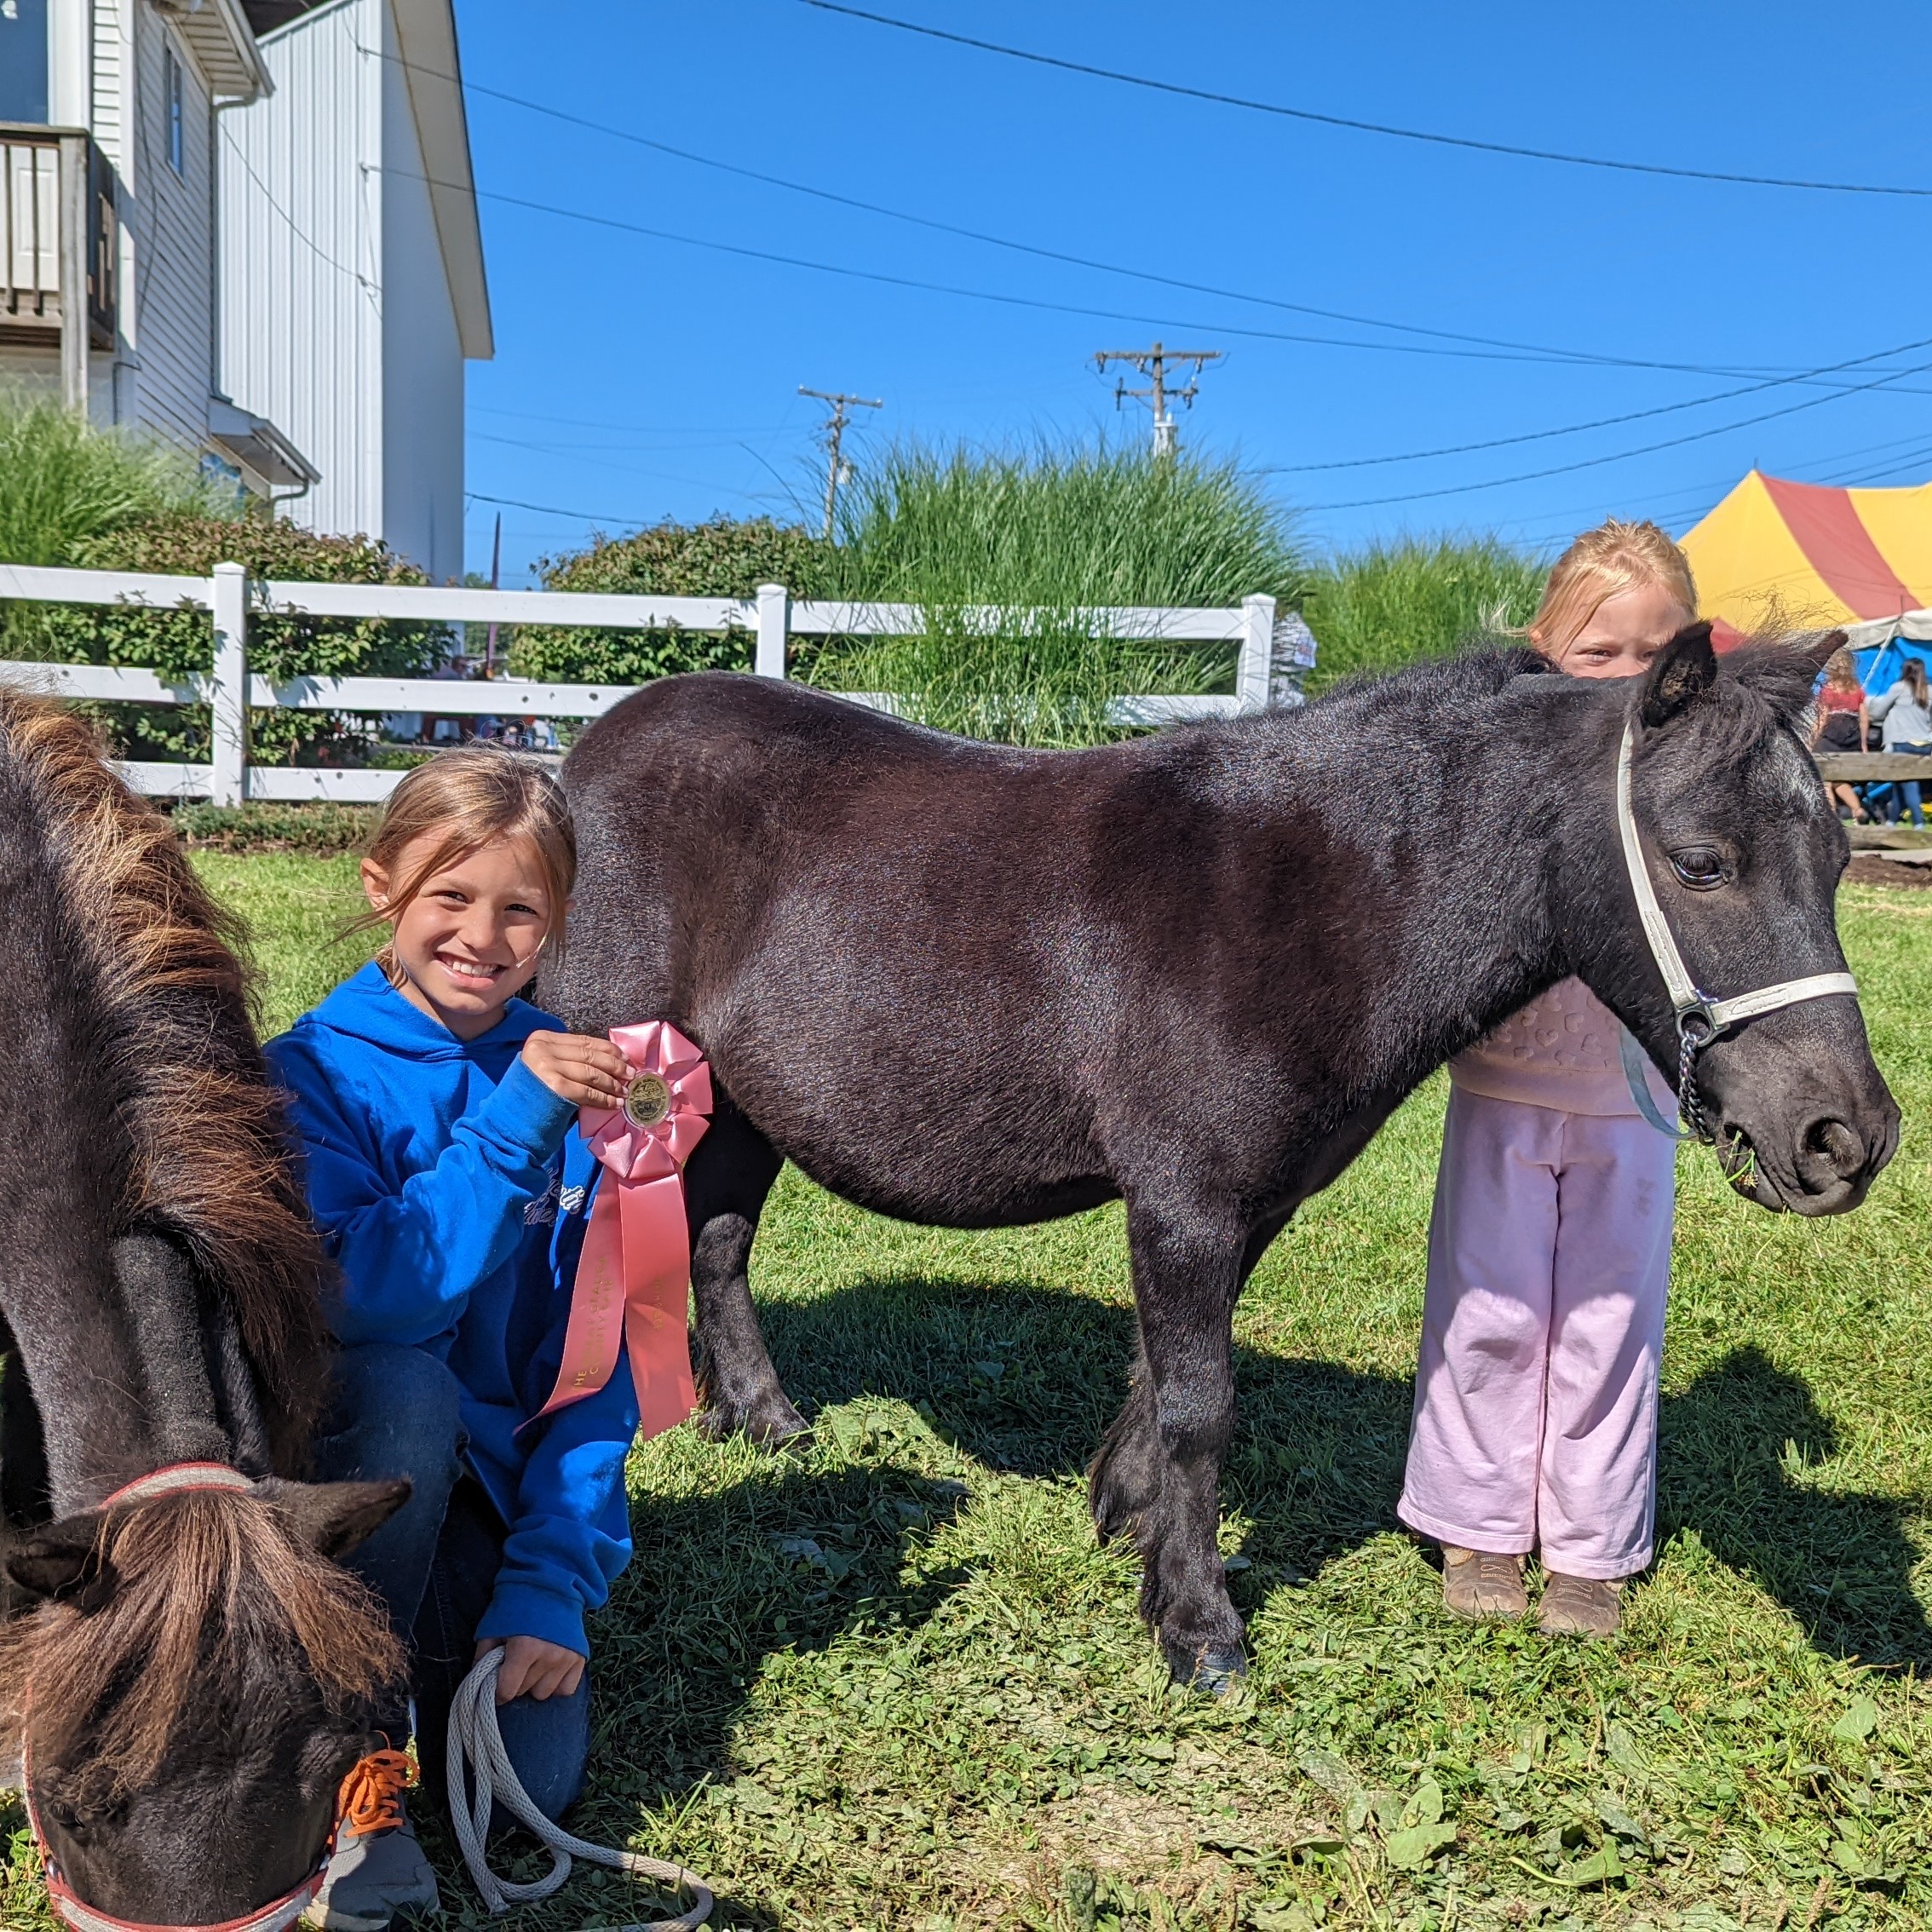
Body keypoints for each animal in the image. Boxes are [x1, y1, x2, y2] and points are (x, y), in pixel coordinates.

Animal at [552, 630, 1893, 1692]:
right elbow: (1205, 1405)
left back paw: (766, 1420)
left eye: (1836, 860)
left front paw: (1128, 1519)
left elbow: (1165, 1379)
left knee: (719, 1239)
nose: (1847, 1139)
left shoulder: (1242, 1207)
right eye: (1702, 861)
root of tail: (586, 754)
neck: (1320, 889)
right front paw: (1201, 1628)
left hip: (731, 1097)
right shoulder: (1187, 1201)